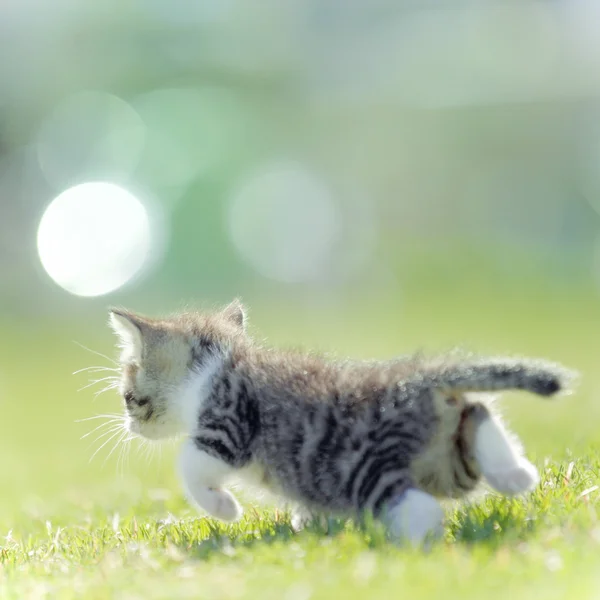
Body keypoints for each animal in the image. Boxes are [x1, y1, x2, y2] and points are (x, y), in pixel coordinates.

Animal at [106, 300, 572, 544]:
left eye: (130, 398)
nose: (129, 426)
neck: (220, 365)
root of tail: (414, 380)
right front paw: (308, 524)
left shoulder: (229, 422)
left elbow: (190, 464)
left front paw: (224, 507)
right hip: (449, 458)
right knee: (477, 414)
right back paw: (515, 474)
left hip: (362, 467)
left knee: (415, 503)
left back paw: (417, 544)